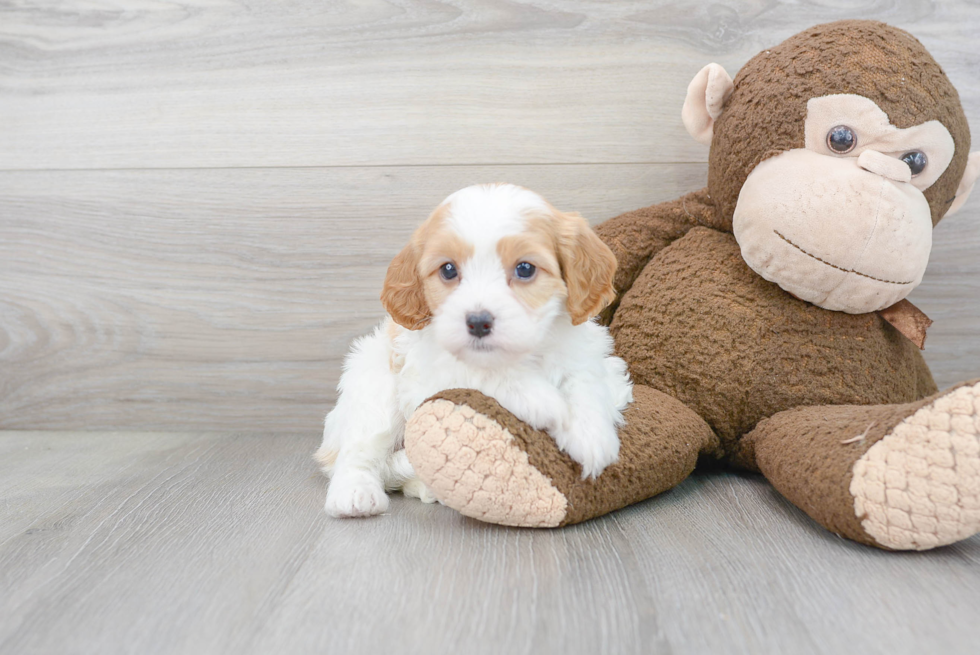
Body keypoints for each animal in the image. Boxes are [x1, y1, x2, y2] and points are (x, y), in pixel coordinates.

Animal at [316, 184, 636, 516]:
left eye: (525, 268)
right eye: (448, 270)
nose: (478, 322)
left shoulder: (587, 353)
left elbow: (585, 381)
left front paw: (591, 434)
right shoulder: (428, 374)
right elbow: (480, 373)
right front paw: (543, 401)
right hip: (373, 389)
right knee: (359, 452)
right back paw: (355, 493)